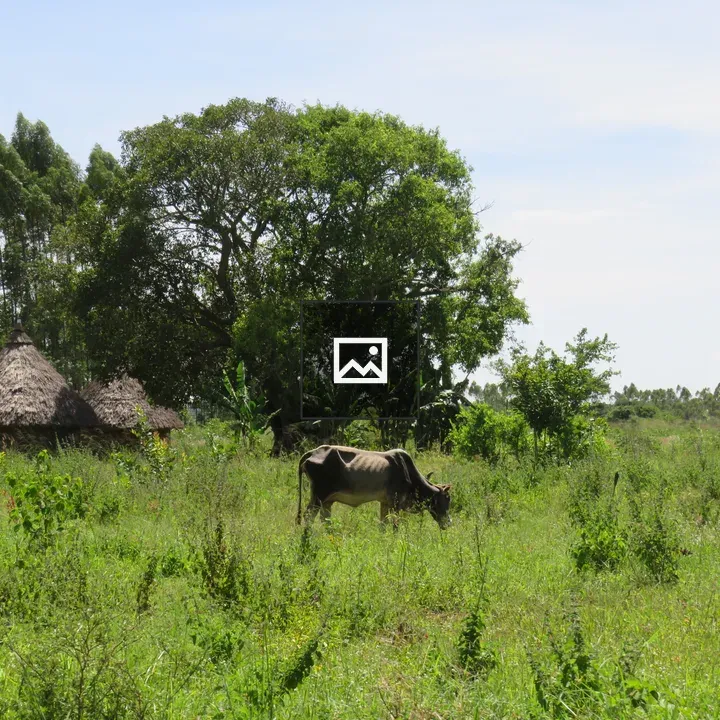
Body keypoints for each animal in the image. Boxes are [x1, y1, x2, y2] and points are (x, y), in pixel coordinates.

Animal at [296, 445, 452, 529]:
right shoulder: (396, 503)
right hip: (318, 495)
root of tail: (313, 452)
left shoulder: (385, 503)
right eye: (446, 499)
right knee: (309, 516)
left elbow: (383, 524)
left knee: (325, 520)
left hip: (327, 501)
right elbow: (395, 526)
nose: (448, 523)